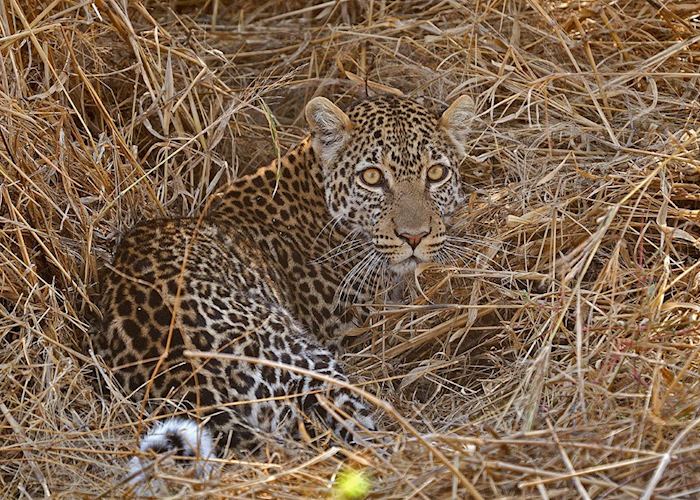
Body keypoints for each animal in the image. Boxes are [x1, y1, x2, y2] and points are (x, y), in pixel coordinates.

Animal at [92, 93, 476, 483]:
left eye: (436, 173)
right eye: (372, 177)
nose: (414, 237)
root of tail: (196, 388)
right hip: (312, 369)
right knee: (365, 442)